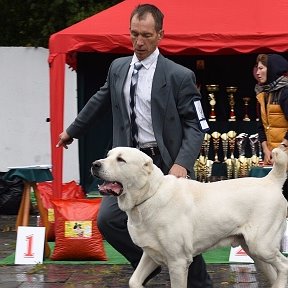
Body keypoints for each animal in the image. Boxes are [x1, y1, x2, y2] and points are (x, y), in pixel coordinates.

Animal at [91, 147, 288, 286]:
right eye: (108, 155)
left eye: (121, 159)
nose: (95, 164)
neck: (150, 195)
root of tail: (269, 181)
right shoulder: (151, 253)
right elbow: (134, 281)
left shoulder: (178, 262)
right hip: (254, 251)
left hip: (261, 246)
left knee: (284, 266)